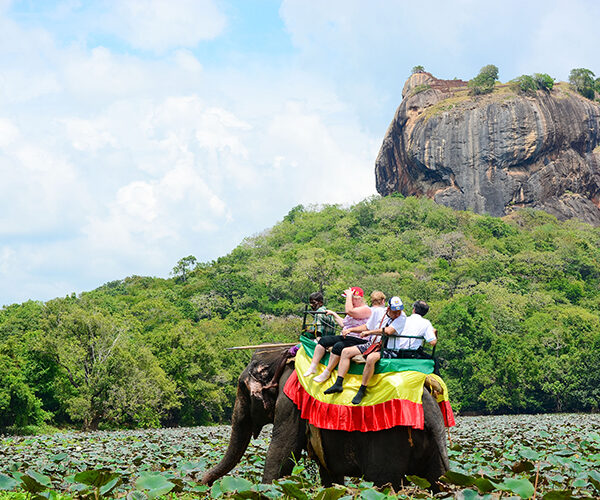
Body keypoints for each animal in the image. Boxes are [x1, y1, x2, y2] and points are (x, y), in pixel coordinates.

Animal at [203, 346, 450, 490]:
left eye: (241, 389)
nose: (202, 483)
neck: (280, 358)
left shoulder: (290, 402)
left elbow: (283, 451)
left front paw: (265, 490)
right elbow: (330, 478)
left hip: (388, 441)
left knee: (383, 483)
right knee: (437, 482)